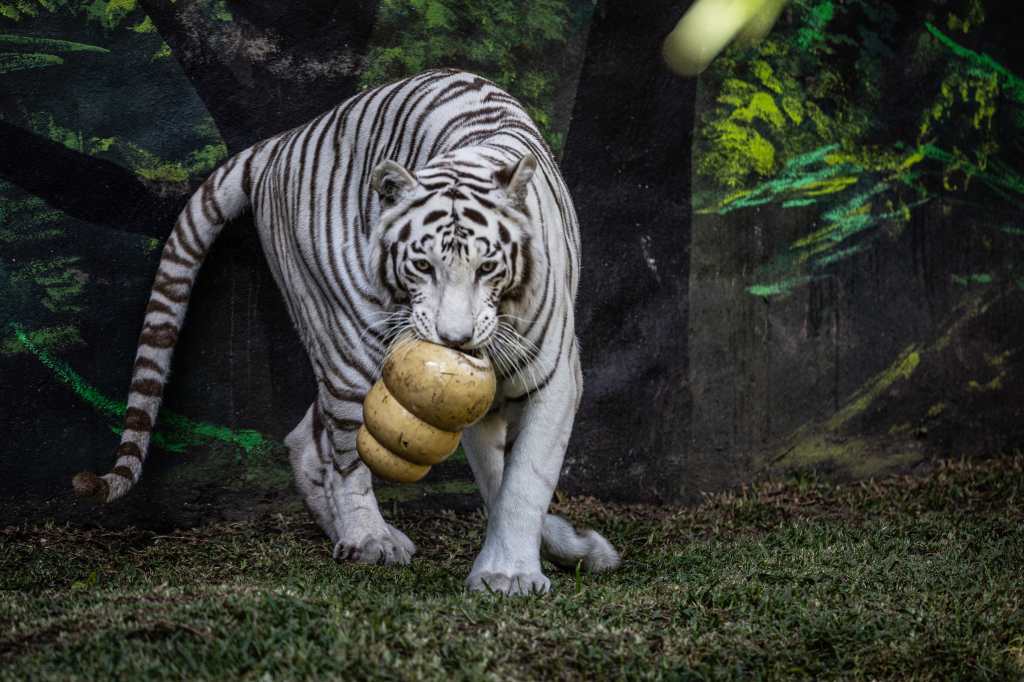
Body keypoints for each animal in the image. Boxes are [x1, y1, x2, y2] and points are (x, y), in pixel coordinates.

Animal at [73, 69, 620, 595]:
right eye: (423, 265)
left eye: (487, 267)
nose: (454, 340)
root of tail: (282, 141)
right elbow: (505, 477)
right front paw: (509, 574)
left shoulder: (550, 379)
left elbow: (520, 480)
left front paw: (519, 567)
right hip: (348, 343)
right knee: (342, 451)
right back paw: (369, 538)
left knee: (304, 438)